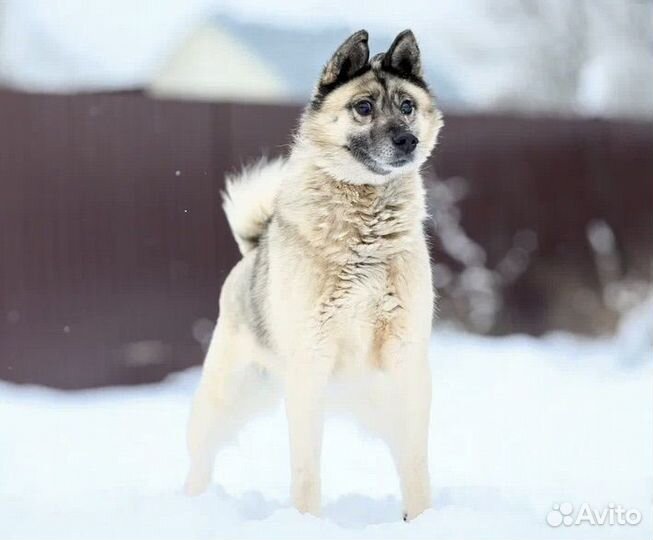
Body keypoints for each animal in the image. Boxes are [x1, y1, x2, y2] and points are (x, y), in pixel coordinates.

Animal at [186, 28, 446, 520]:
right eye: (363, 107)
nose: (406, 140)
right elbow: (307, 471)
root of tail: (254, 246)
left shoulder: (407, 361)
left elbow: (418, 464)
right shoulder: (310, 364)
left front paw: (423, 520)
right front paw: (306, 523)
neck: (366, 225)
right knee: (201, 457)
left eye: (407, 105)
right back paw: (193, 506)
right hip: (228, 398)